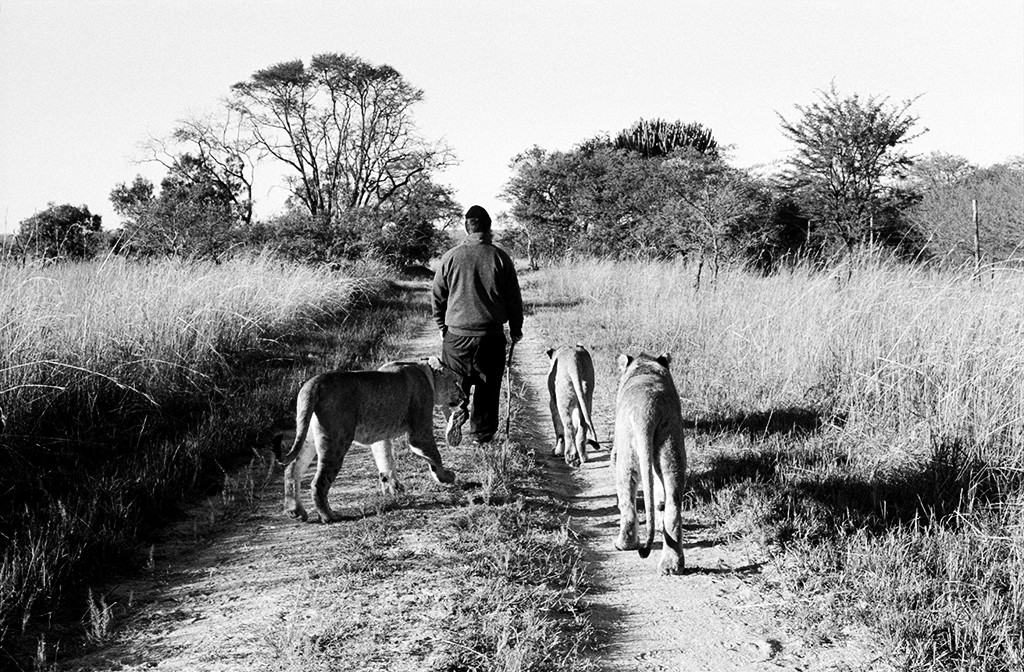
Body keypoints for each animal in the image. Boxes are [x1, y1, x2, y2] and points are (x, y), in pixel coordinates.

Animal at [272, 354, 464, 522]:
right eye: (456, 381)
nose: (463, 398)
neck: (424, 370)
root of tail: (313, 383)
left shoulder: (381, 437)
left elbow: (386, 460)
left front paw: (394, 489)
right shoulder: (420, 432)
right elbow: (434, 456)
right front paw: (447, 476)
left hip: (308, 437)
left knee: (291, 469)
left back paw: (295, 511)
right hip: (336, 440)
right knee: (318, 482)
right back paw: (329, 516)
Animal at [606, 348, 688, 573]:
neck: (646, 367)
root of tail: (647, 408)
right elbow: (659, 497)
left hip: (627, 454)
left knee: (627, 504)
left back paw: (625, 544)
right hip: (671, 448)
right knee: (672, 507)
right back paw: (672, 565)